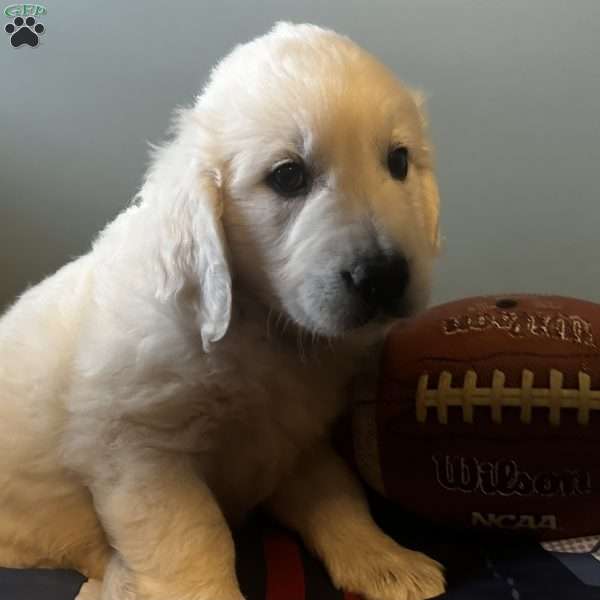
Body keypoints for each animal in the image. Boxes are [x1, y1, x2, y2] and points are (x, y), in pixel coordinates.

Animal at [0, 21, 446, 600]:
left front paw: (386, 561)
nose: (385, 277)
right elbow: (196, 540)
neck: (258, 325)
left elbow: (338, 496)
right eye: (288, 176)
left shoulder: (293, 441)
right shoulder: (143, 452)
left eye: (398, 162)